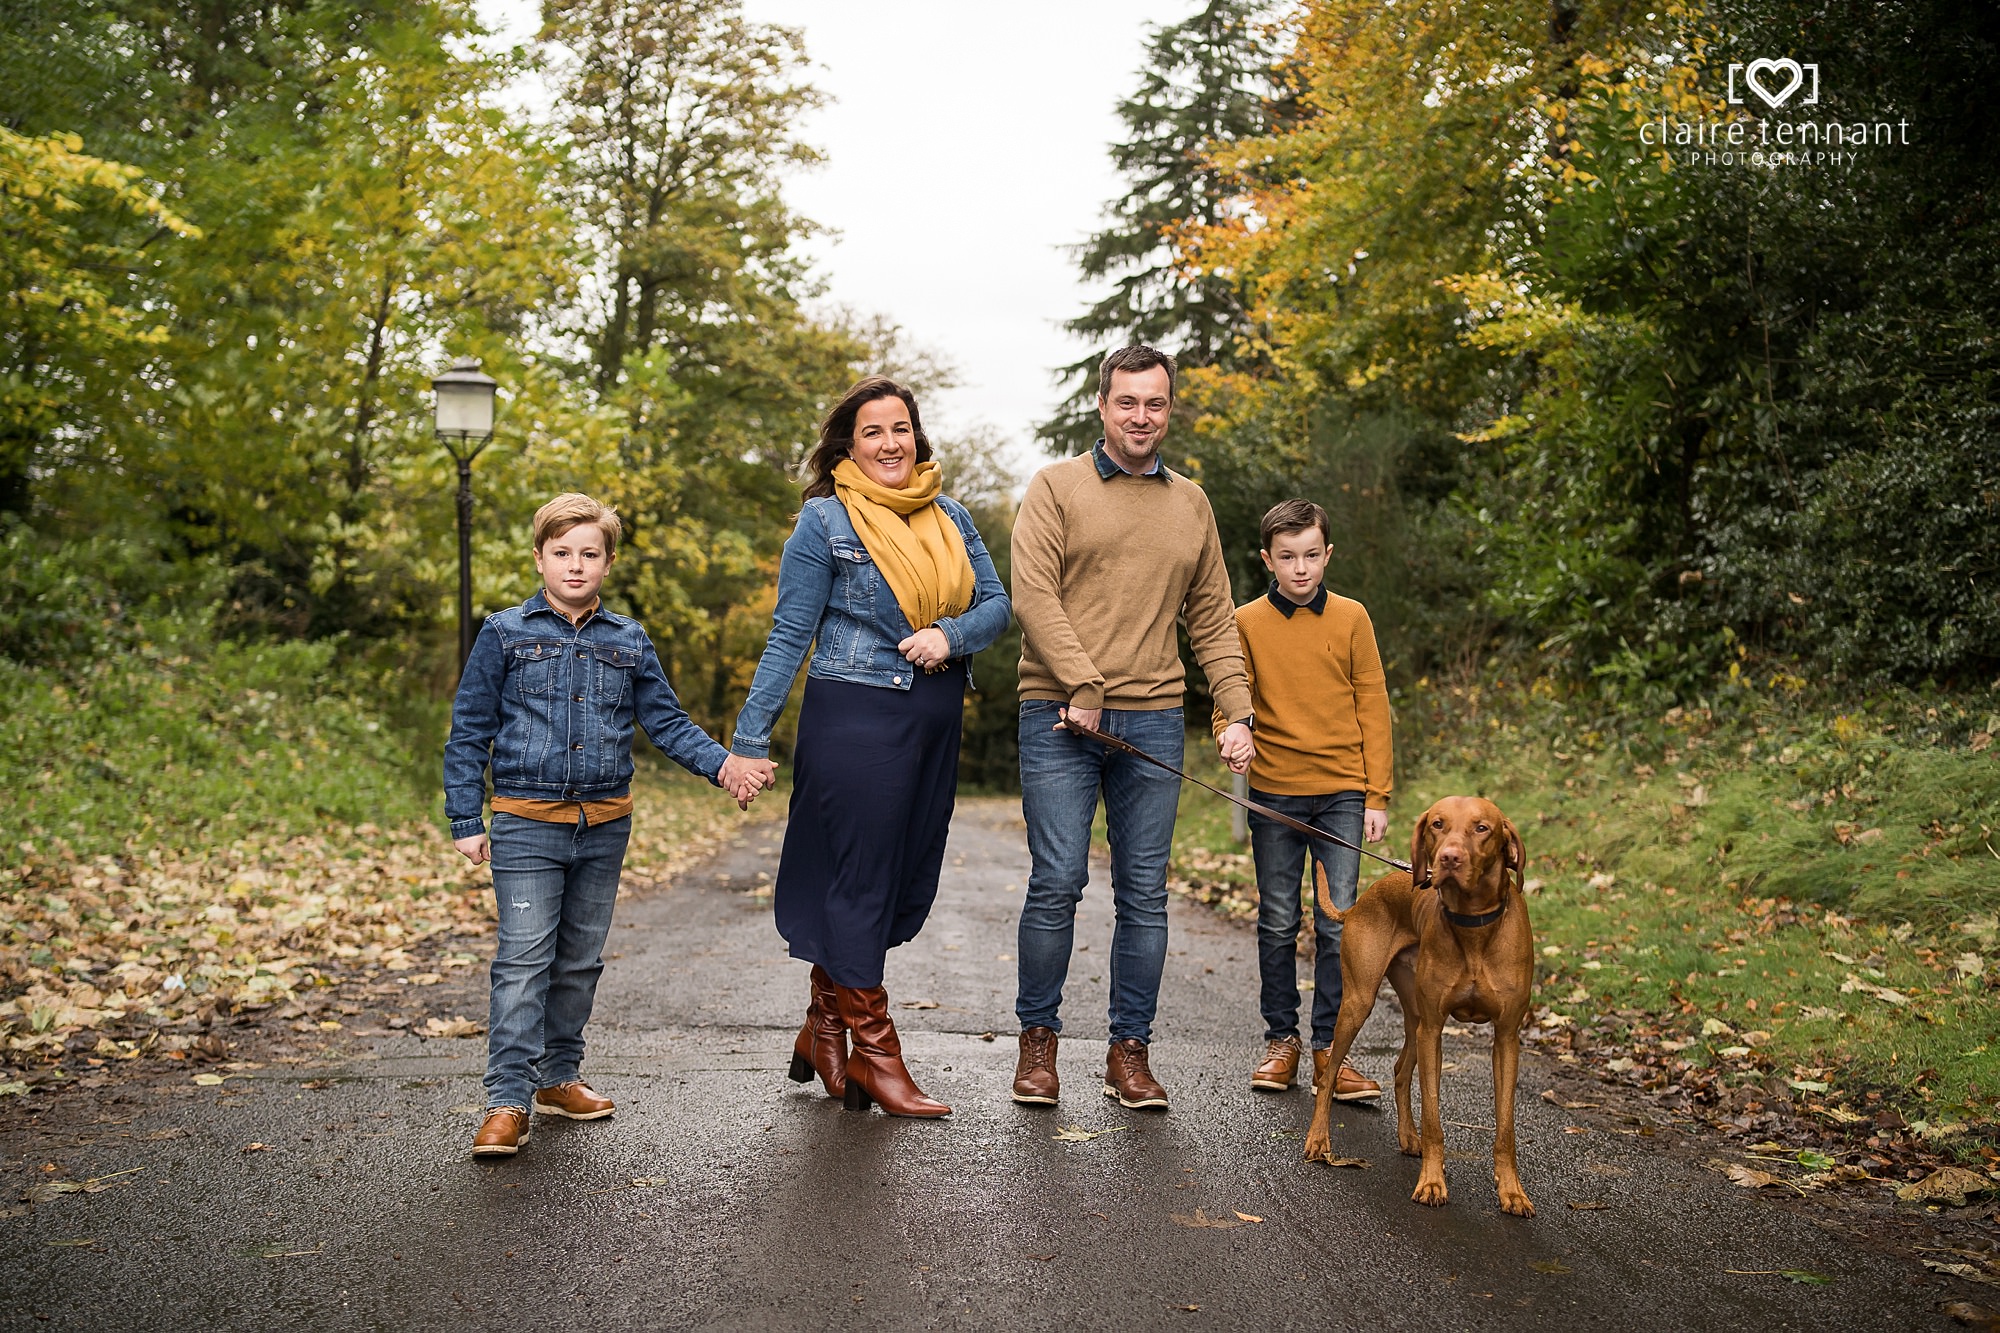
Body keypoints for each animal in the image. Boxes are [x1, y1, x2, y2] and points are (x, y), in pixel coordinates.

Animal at [1304, 792, 1536, 1208]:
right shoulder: (1434, 1030)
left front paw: (1512, 1191)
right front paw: (1431, 1183)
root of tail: (1364, 897)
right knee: (1329, 1076)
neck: (1473, 925)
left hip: (1414, 1017)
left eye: (1482, 828)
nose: (1449, 858)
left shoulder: (1507, 1038)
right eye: (1437, 824)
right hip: (1361, 1003)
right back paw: (1318, 1139)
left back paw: (1407, 1137)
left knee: (1399, 1070)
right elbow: (1433, 1118)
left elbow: (1506, 1127)